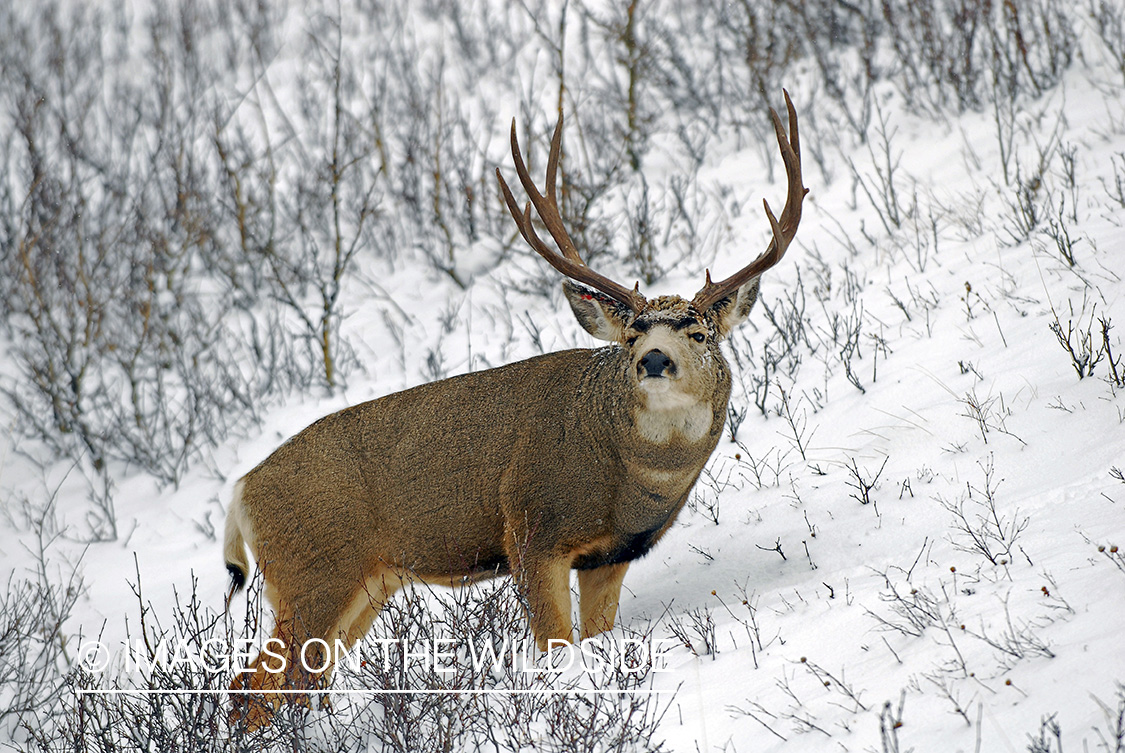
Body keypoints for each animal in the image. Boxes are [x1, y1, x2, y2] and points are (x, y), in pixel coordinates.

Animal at [223, 91, 805, 729]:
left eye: (700, 333)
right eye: (631, 334)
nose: (653, 359)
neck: (628, 476)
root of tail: (243, 489)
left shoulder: (609, 557)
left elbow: (595, 637)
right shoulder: (531, 529)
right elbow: (555, 646)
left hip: (365, 584)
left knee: (277, 683)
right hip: (314, 571)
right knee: (262, 687)